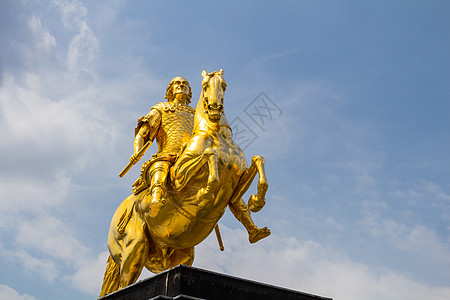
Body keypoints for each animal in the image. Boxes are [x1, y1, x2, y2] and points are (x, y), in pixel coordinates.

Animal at [99, 70, 268, 298]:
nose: (215, 108)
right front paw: (207, 191)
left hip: (180, 253)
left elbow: (258, 161)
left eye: (224, 84)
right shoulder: (179, 177)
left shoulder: (237, 185)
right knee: (124, 285)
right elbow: (208, 155)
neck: (216, 135)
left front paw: (256, 201)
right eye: (205, 85)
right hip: (134, 251)